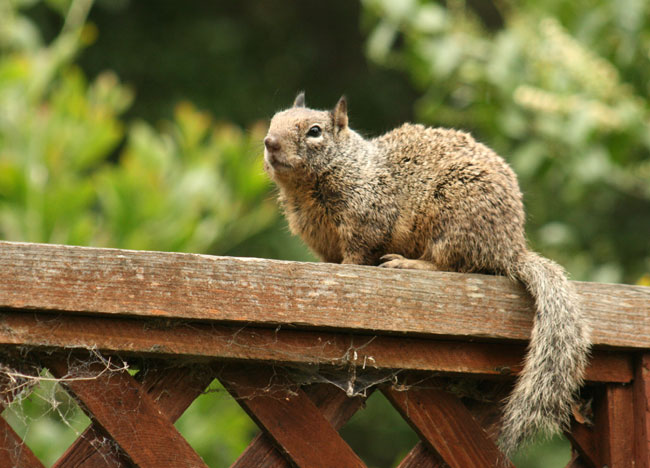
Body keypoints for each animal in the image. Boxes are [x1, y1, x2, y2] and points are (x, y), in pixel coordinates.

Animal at [260, 92, 588, 458]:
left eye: (315, 131)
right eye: (274, 120)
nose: (270, 142)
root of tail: (510, 249)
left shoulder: (369, 218)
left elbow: (359, 252)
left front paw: (347, 269)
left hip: (453, 217)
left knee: (454, 265)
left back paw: (409, 264)